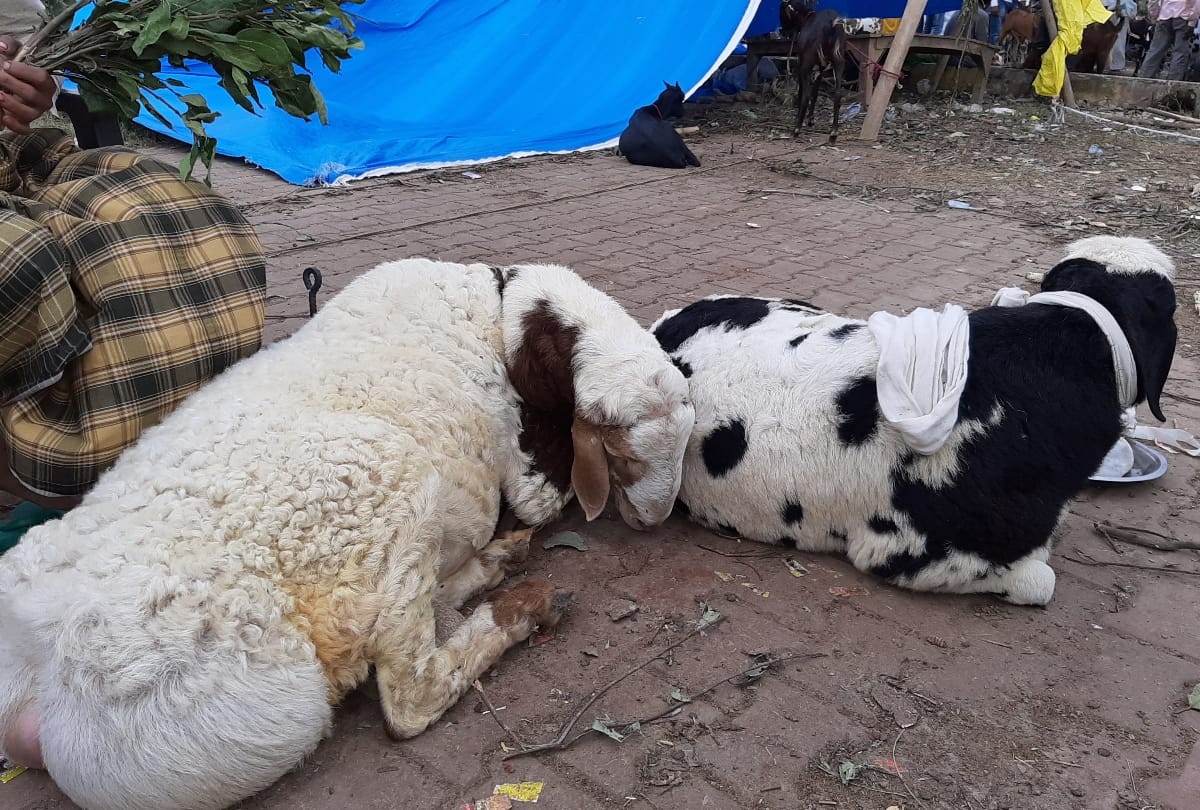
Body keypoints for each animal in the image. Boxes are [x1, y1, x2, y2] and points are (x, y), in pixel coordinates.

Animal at [0, 258, 694, 810]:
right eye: (621, 455)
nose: (654, 520)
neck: (497, 310)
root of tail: (33, 668)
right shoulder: (525, 468)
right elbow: (536, 499)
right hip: (381, 501)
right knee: (409, 695)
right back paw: (519, 606)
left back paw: (493, 567)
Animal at [780, 0, 846, 144]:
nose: (782, 30)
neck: (806, 17)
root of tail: (831, 24)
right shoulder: (821, 68)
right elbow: (815, 93)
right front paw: (811, 120)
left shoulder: (802, 64)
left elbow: (802, 93)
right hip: (839, 61)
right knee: (838, 95)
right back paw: (833, 133)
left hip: (807, 64)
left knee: (805, 95)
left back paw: (796, 130)